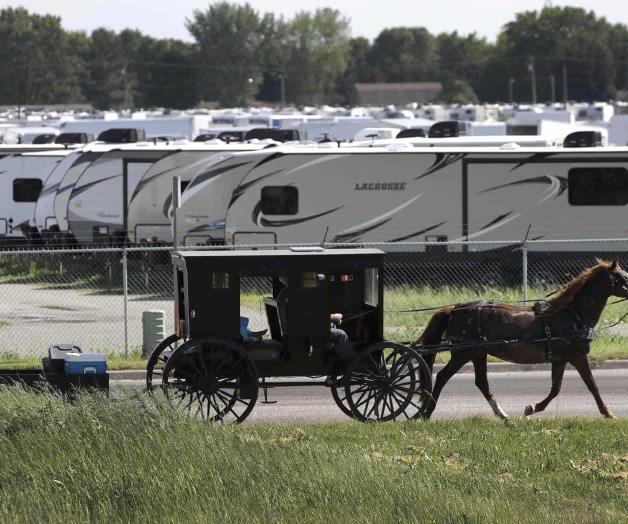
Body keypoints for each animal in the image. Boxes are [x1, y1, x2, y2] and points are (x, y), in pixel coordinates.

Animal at [418, 260, 628, 420]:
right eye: (623, 277)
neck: (572, 315)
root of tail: (455, 309)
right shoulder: (577, 356)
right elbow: (592, 386)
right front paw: (608, 414)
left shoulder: (560, 359)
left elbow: (556, 388)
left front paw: (532, 408)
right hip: (463, 353)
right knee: (443, 376)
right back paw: (427, 412)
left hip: (478, 353)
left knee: (481, 383)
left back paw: (502, 414)